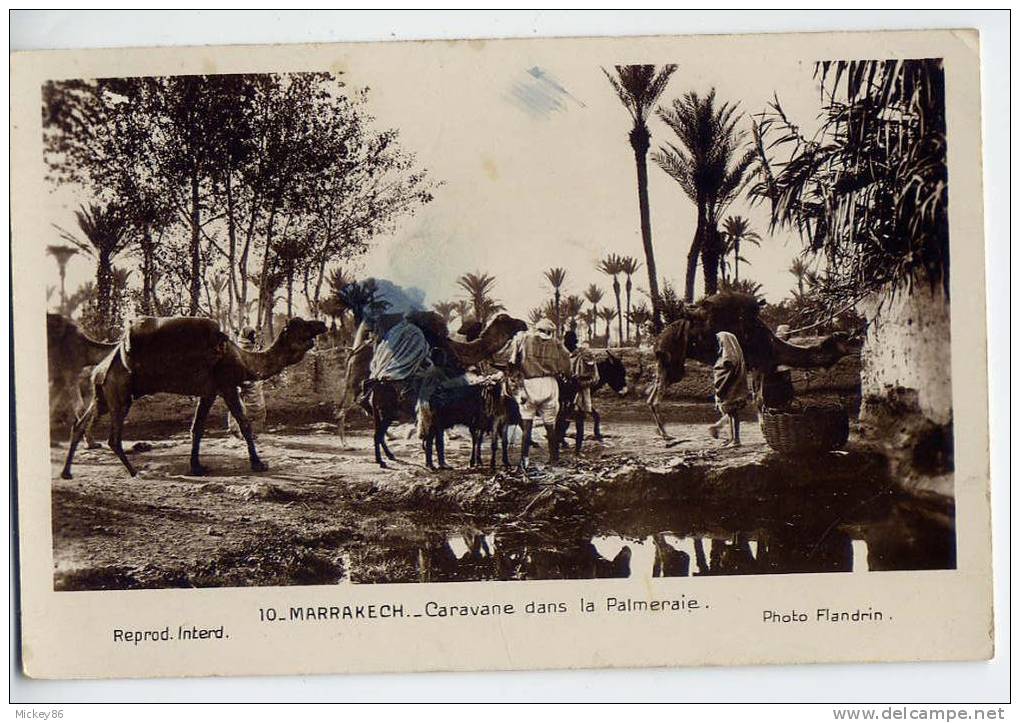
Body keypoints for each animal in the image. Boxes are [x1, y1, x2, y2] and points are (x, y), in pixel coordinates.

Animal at [61, 316, 324, 479]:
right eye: (303, 325)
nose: (322, 323)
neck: (244, 360)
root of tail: (101, 369)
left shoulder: (208, 392)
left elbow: (197, 428)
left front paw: (197, 466)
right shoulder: (226, 385)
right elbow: (244, 423)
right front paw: (258, 464)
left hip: (103, 396)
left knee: (80, 424)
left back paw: (67, 472)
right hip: (120, 395)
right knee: (113, 438)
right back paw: (135, 472)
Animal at [648, 289, 856, 436]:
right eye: (849, 339)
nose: (859, 343)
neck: (774, 347)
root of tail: (659, 340)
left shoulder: (757, 366)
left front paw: (717, 430)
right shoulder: (760, 364)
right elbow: (758, 399)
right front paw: (762, 429)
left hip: (666, 361)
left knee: (652, 395)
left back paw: (664, 434)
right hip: (673, 361)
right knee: (656, 396)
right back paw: (666, 435)